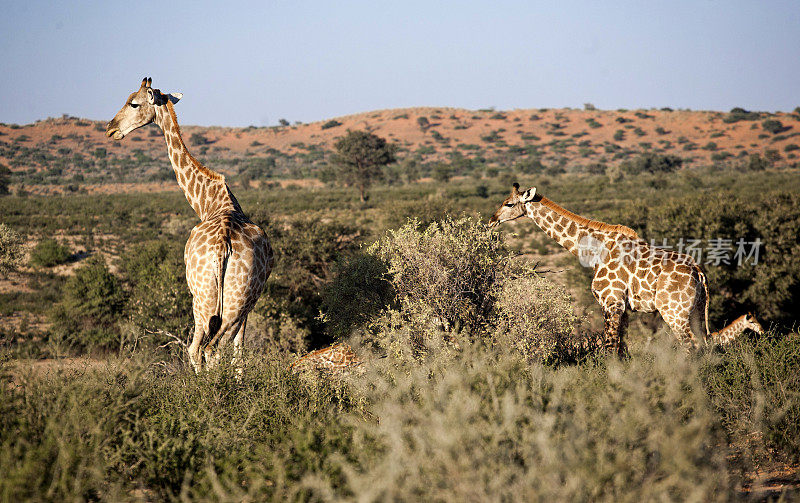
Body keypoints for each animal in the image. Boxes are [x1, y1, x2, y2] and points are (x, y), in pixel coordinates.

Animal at [108, 77, 274, 372]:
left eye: (133, 103)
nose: (110, 128)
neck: (210, 202)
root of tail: (222, 247)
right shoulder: (249, 305)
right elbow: (240, 352)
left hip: (203, 299)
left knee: (201, 349)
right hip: (233, 301)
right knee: (216, 348)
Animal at [488, 184, 764, 354]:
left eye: (509, 204)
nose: (491, 220)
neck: (594, 251)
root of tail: (699, 272)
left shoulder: (611, 302)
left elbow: (609, 347)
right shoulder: (625, 308)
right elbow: (623, 349)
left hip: (673, 312)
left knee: (691, 346)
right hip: (695, 309)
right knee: (704, 344)